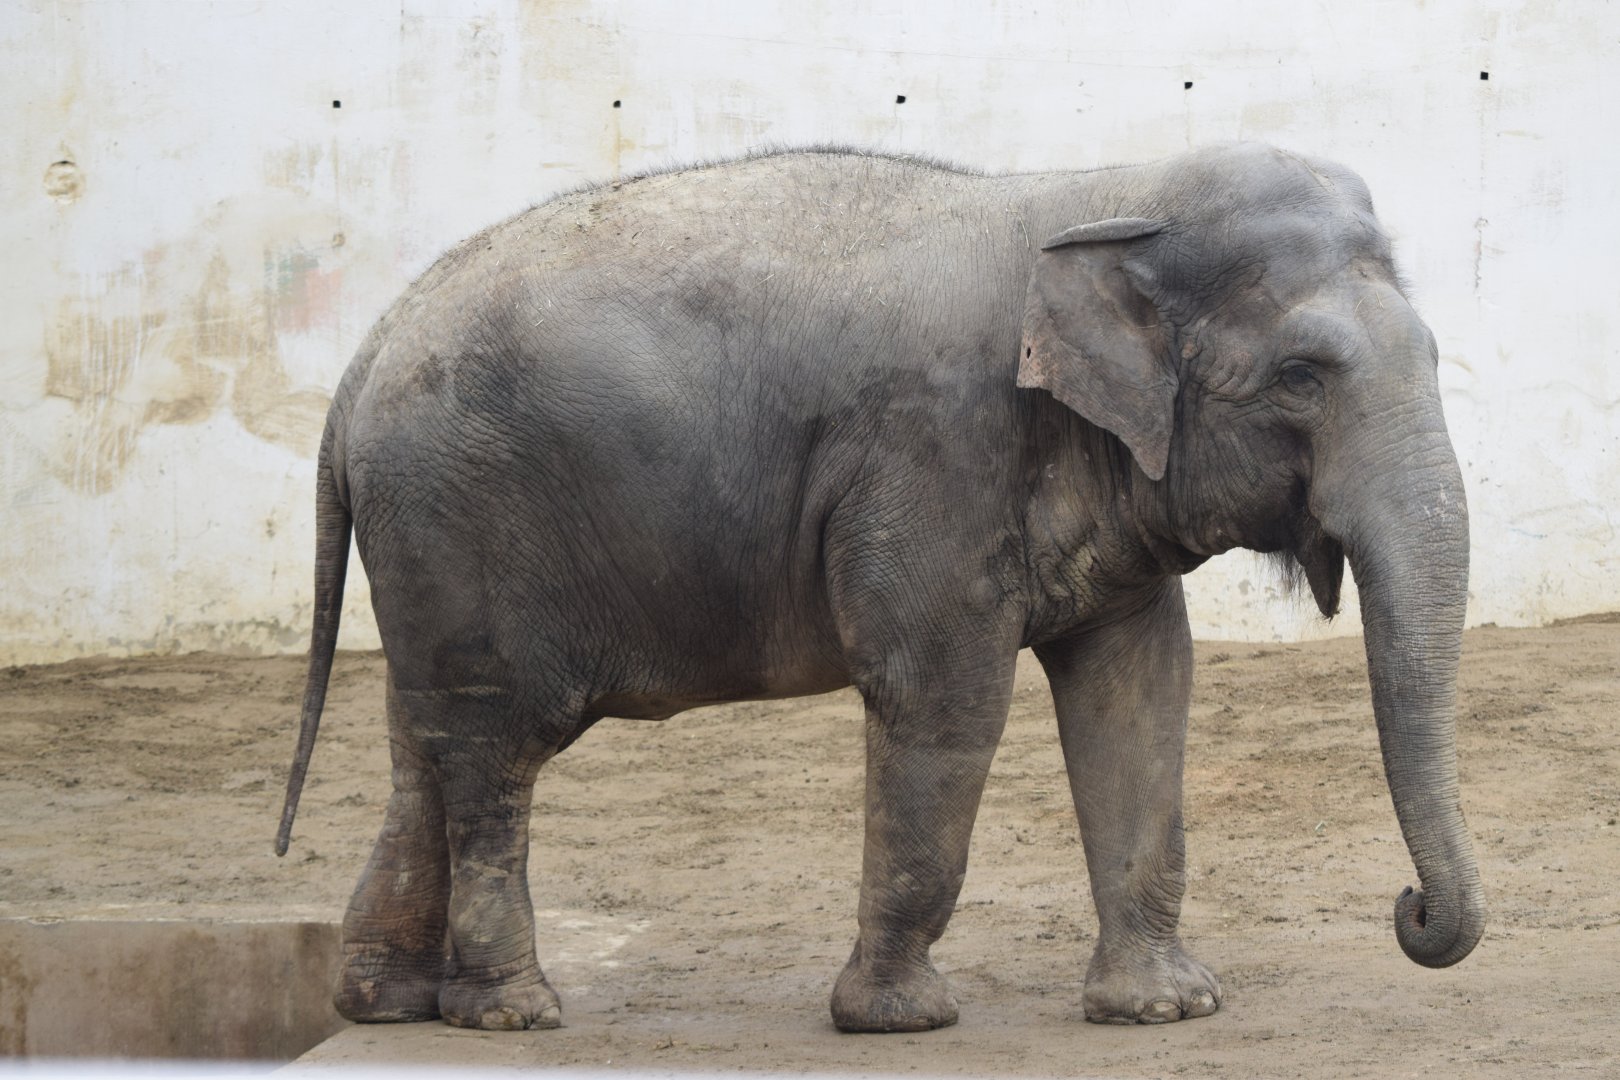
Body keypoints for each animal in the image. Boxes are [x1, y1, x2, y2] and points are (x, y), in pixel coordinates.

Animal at [274, 142, 1484, 1033]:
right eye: (1301, 378)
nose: (1410, 906)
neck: (1103, 192)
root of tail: (363, 358)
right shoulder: (931, 455)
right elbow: (942, 696)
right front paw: (901, 1018)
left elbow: (1142, 690)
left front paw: (1164, 1010)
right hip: (462, 524)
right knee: (494, 755)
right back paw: (513, 1012)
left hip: (425, 551)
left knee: (420, 752)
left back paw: (386, 1003)